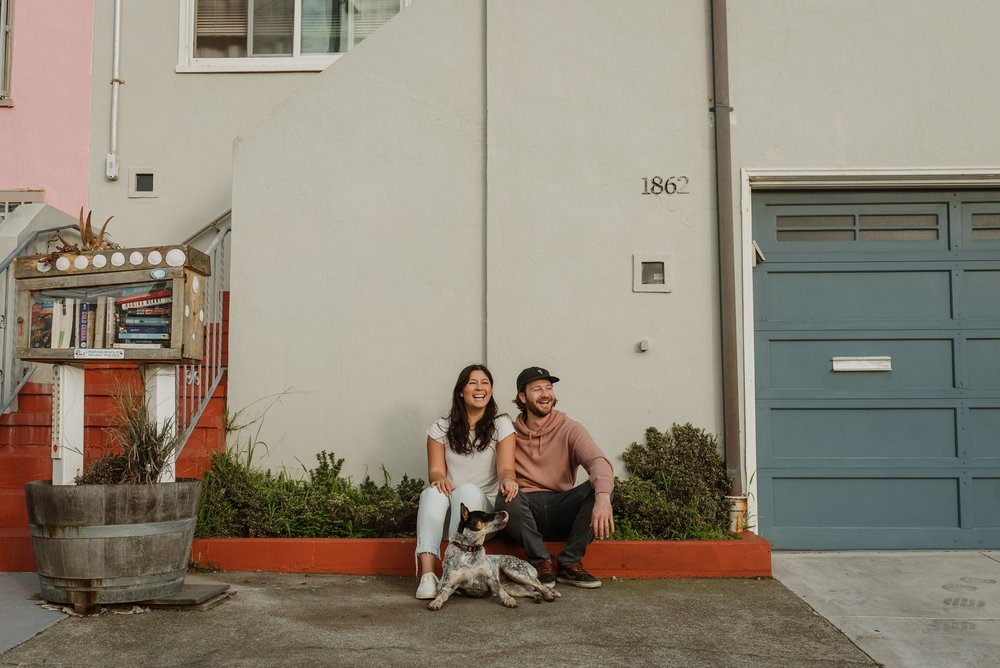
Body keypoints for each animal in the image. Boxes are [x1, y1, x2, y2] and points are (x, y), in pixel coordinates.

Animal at [426, 500, 560, 612]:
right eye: (484, 515)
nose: (503, 512)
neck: (470, 550)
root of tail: (526, 563)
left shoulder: (492, 580)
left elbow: (501, 591)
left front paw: (508, 600)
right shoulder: (448, 586)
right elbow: (441, 595)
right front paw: (436, 602)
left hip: (515, 572)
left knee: (540, 585)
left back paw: (548, 594)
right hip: (514, 588)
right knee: (531, 592)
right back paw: (538, 597)